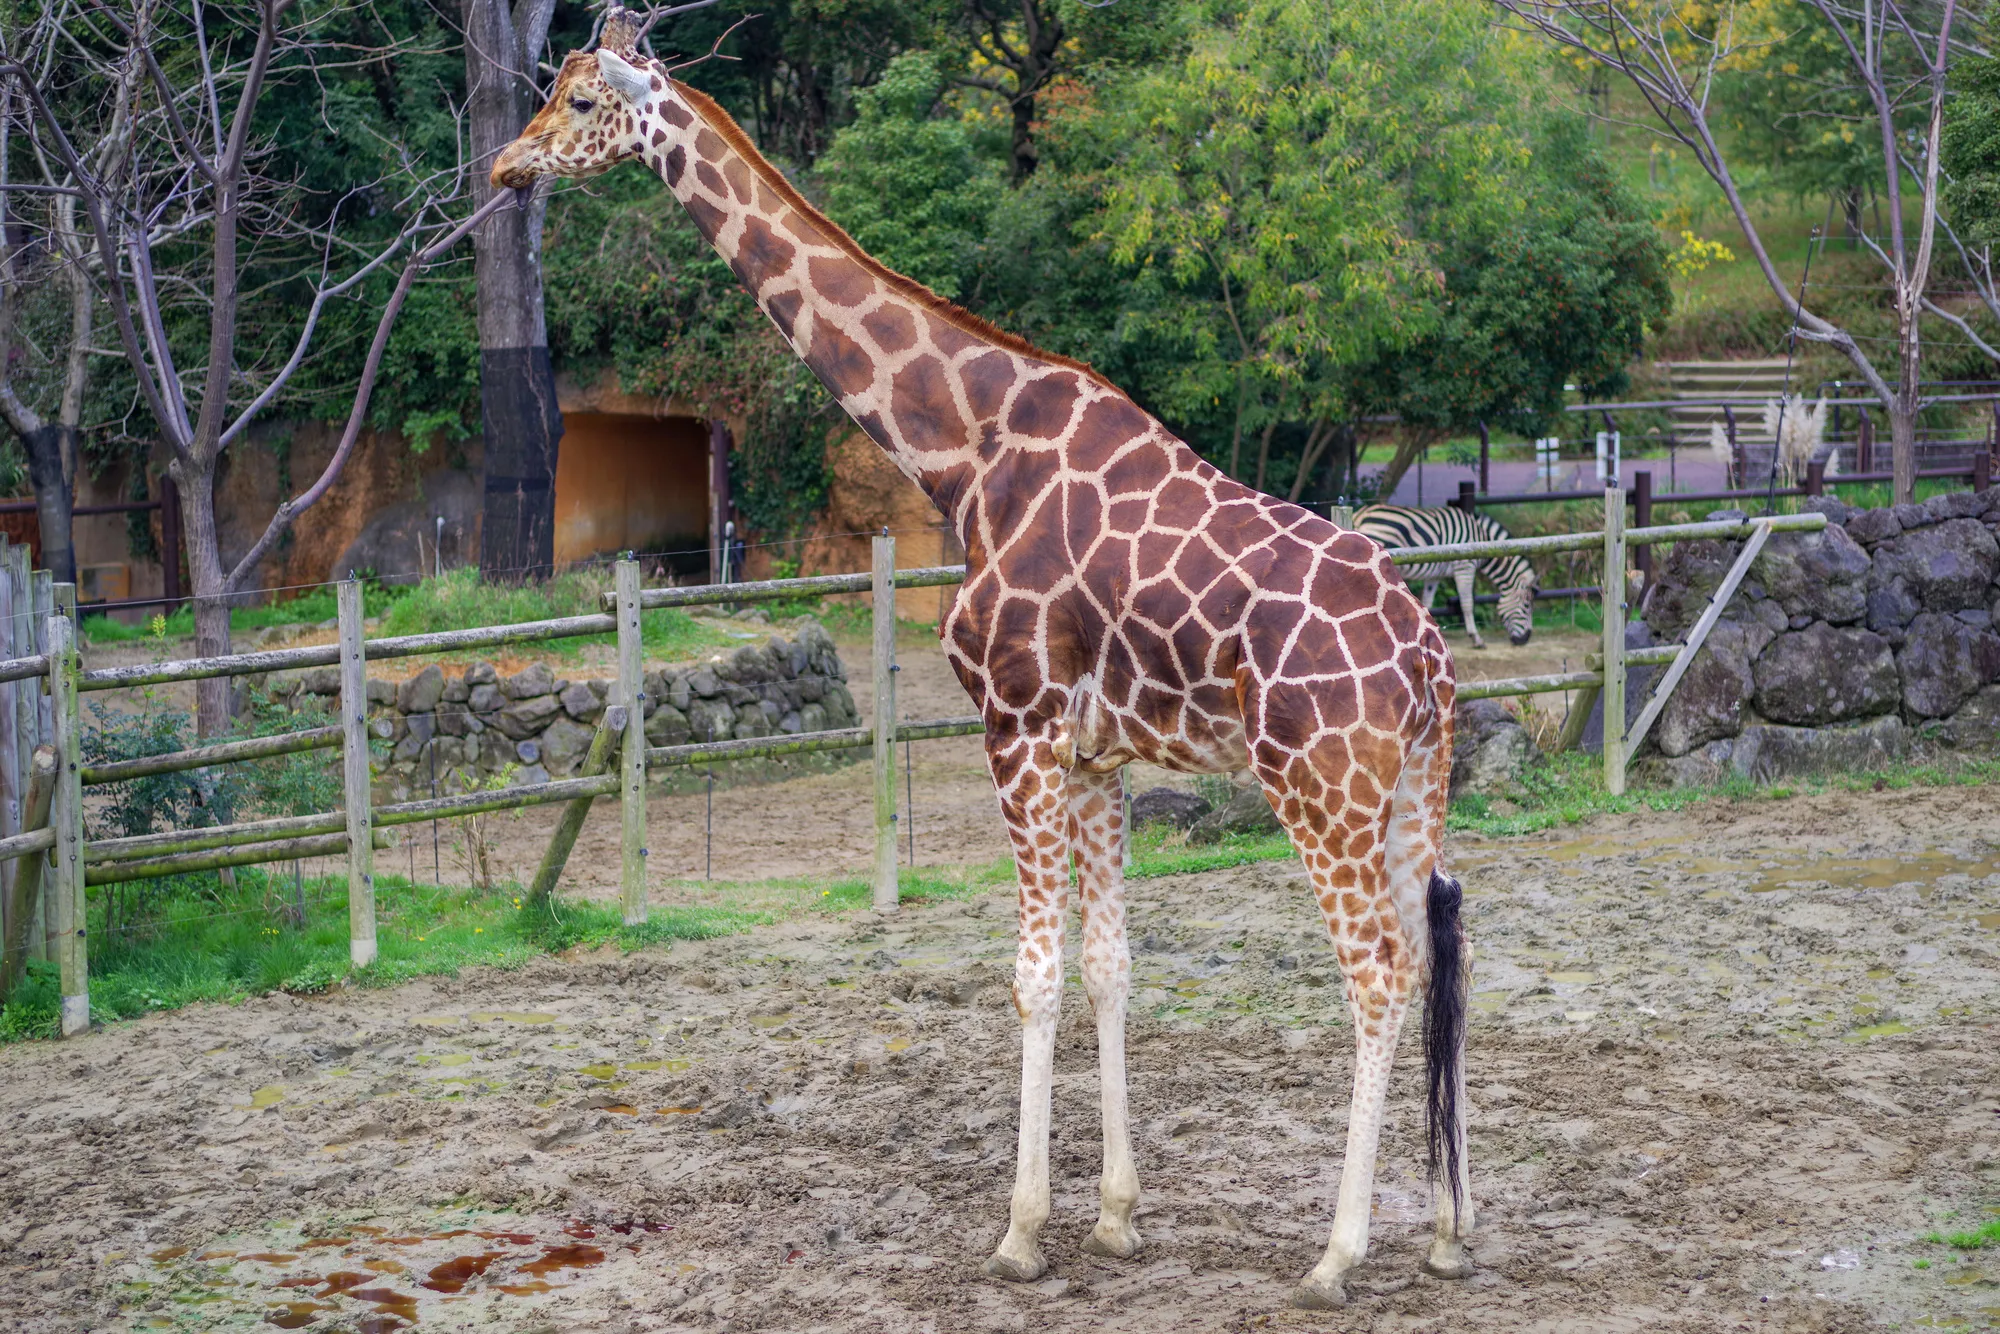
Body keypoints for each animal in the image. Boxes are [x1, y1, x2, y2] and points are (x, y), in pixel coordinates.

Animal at [492, 20, 1480, 1312]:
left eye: (572, 99)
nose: (505, 167)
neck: (961, 450)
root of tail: (1427, 656)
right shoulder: (1097, 752)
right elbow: (1108, 966)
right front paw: (1114, 1218)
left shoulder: (1014, 721)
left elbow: (1032, 975)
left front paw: (1018, 1231)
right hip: (1410, 786)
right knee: (1437, 951)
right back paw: (1448, 1233)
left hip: (1317, 786)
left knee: (1374, 971)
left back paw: (1335, 1254)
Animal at [1352, 504, 1536, 648]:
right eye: (1527, 606)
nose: (1525, 640)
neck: (1482, 539)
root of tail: (1361, 514)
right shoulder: (1465, 567)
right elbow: (1467, 603)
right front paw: (1476, 638)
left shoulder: (1434, 576)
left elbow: (1426, 603)